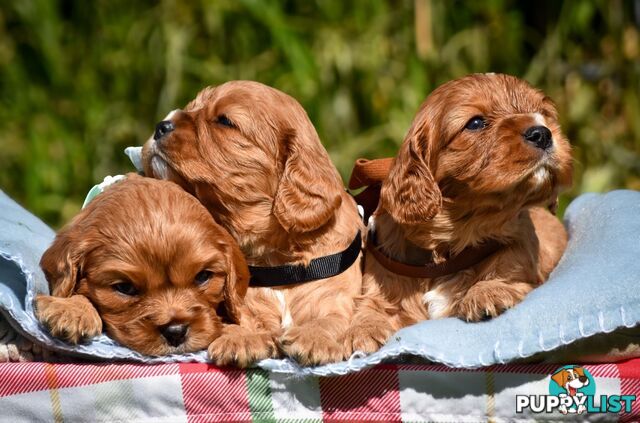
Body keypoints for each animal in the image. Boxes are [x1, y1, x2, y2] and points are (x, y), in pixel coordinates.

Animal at [142, 81, 362, 366]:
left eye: (225, 121)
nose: (161, 126)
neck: (277, 259)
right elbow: (240, 321)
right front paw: (242, 338)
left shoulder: (336, 296)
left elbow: (332, 318)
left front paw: (314, 337)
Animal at [348, 73, 572, 354]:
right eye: (475, 123)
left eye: (543, 114)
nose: (542, 133)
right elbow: (371, 304)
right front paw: (364, 328)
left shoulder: (524, 270)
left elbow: (510, 279)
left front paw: (487, 293)